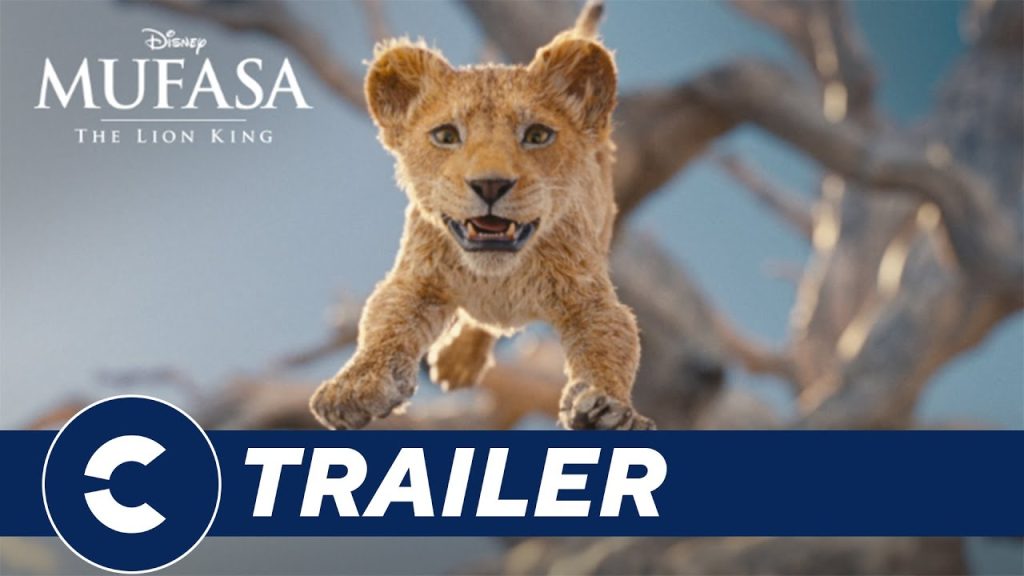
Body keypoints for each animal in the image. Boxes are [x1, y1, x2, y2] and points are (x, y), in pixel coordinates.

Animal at [309, 22, 653, 431]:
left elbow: (610, 344)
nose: (490, 185)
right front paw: (353, 387)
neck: (497, 277)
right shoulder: (416, 279)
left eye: (537, 135)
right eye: (446, 136)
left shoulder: (589, 298)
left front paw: (606, 409)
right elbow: (384, 324)